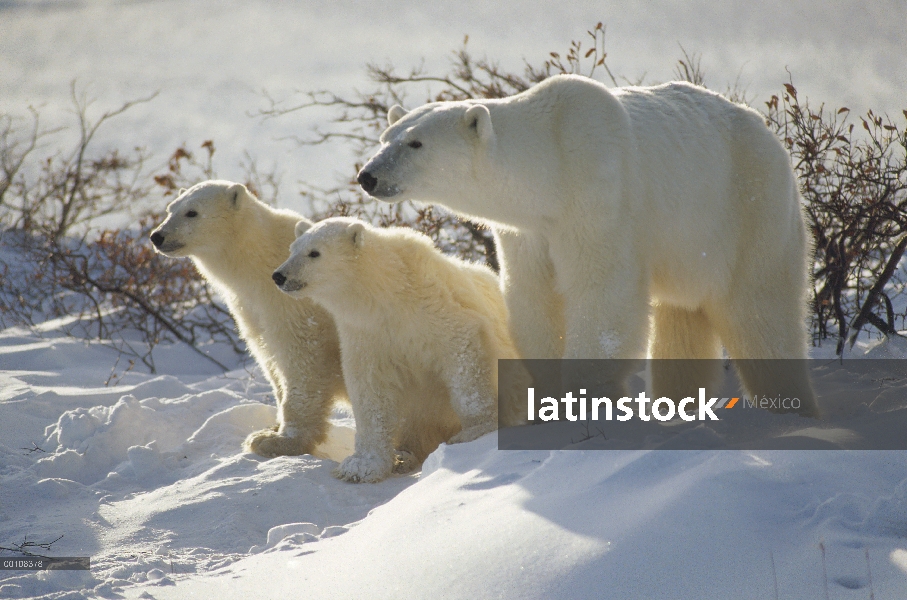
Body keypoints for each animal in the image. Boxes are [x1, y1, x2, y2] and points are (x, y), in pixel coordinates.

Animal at [358, 74, 820, 412]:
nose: (368, 176)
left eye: (415, 142)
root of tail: (772, 138)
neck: (548, 167)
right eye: (385, 138)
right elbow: (534, 298)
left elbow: (601, 293)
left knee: (761, 312)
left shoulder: (597, 193)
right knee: (683, 317)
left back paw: (789, 406)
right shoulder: (528, 232)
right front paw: (546, 396)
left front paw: (587, 398)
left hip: (749, 210)